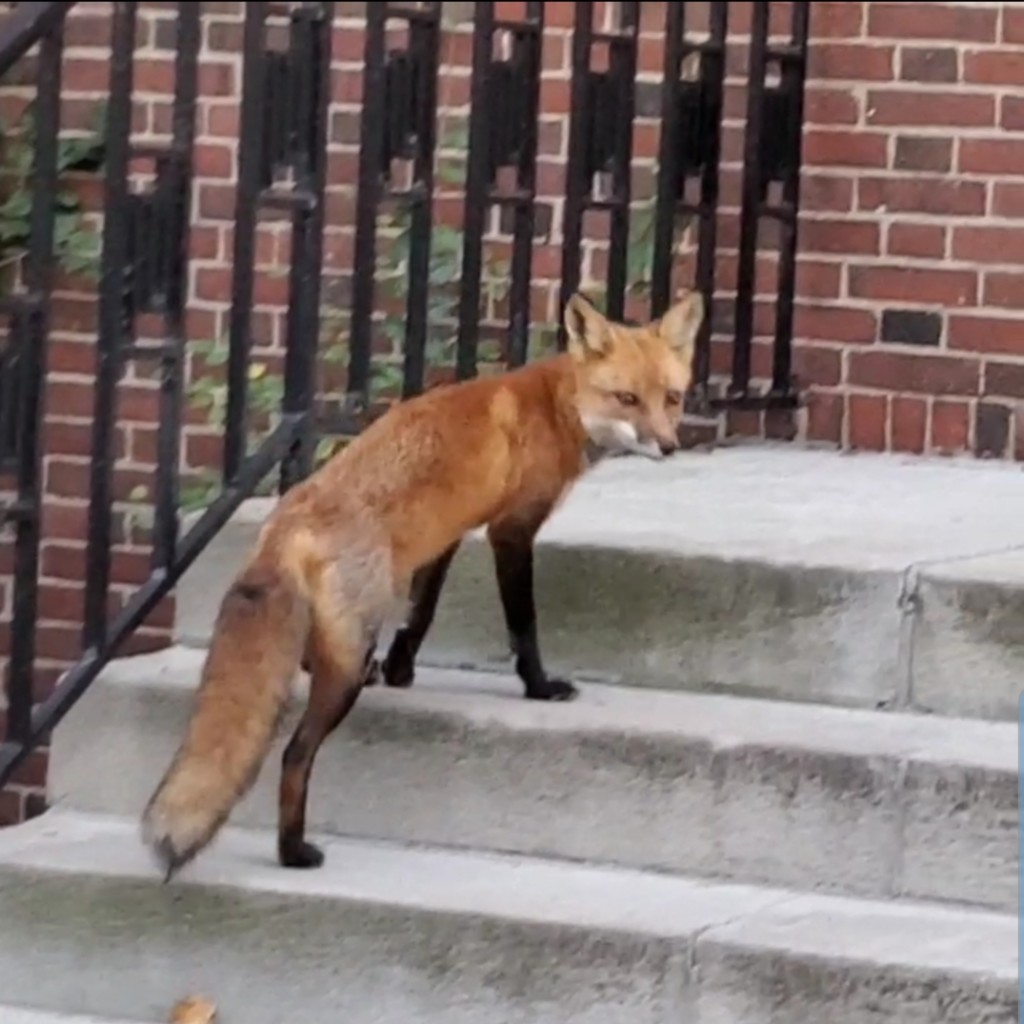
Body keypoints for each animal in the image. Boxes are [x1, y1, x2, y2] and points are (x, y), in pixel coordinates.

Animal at [140, 289, 705, 879]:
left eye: (671, 397)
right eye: (627, 398)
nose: (669, 446)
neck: (557, 406)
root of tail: (287, 520)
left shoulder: (445, 535)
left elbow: (421, 613)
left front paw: (401, 669)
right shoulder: (511, 530)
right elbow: (522, 625)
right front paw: (540, 687)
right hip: (346, 663)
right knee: (296, 752)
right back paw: (293, 851)